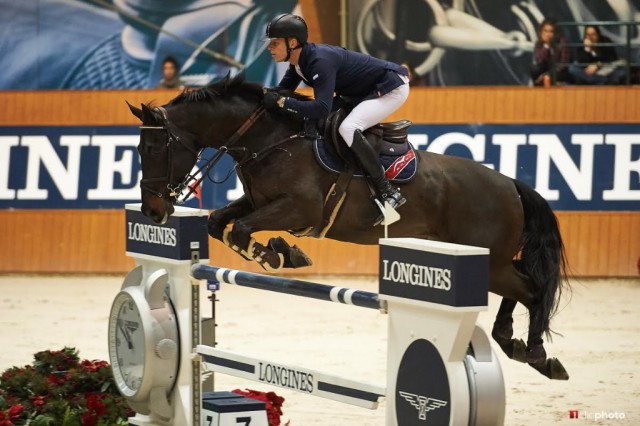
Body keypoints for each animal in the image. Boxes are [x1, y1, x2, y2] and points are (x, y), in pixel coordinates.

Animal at [126, 72, 568, 380]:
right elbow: (222, 224)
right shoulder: (259, 202)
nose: (152, 212)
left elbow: (238, 230)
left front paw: (278, 255)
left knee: (532, 289)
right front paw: (282, 253)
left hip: (489, 260)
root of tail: (510, 184)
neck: (269, 139)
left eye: (154, 147)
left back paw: (537, 355)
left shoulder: (297, 209)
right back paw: (512, 340)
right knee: (523, 284)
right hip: (490, 260)